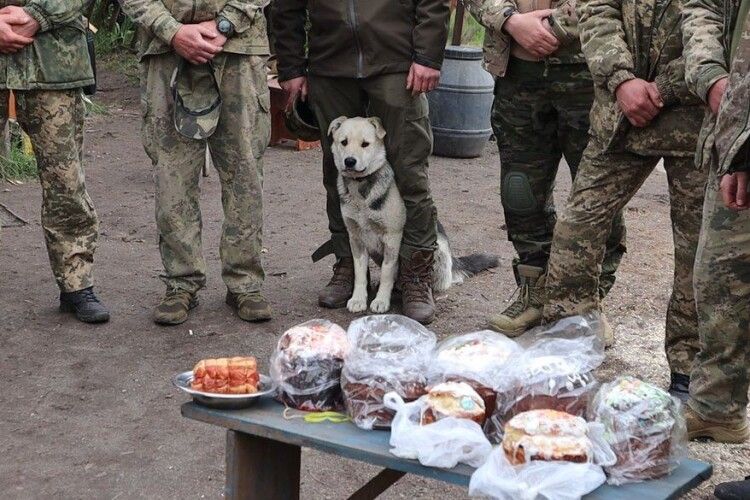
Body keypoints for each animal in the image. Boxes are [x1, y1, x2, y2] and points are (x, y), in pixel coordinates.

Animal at [330, 115, 500, 314]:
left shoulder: (392, 238)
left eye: (365, 144)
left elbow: (387, 272)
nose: (349, 161)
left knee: (444, 280)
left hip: (437, 248)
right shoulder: (355, 238)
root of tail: (453, 261)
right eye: (344, 142)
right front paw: (358, 299)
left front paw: (381, 300)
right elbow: (359, 274)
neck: (361, 189)